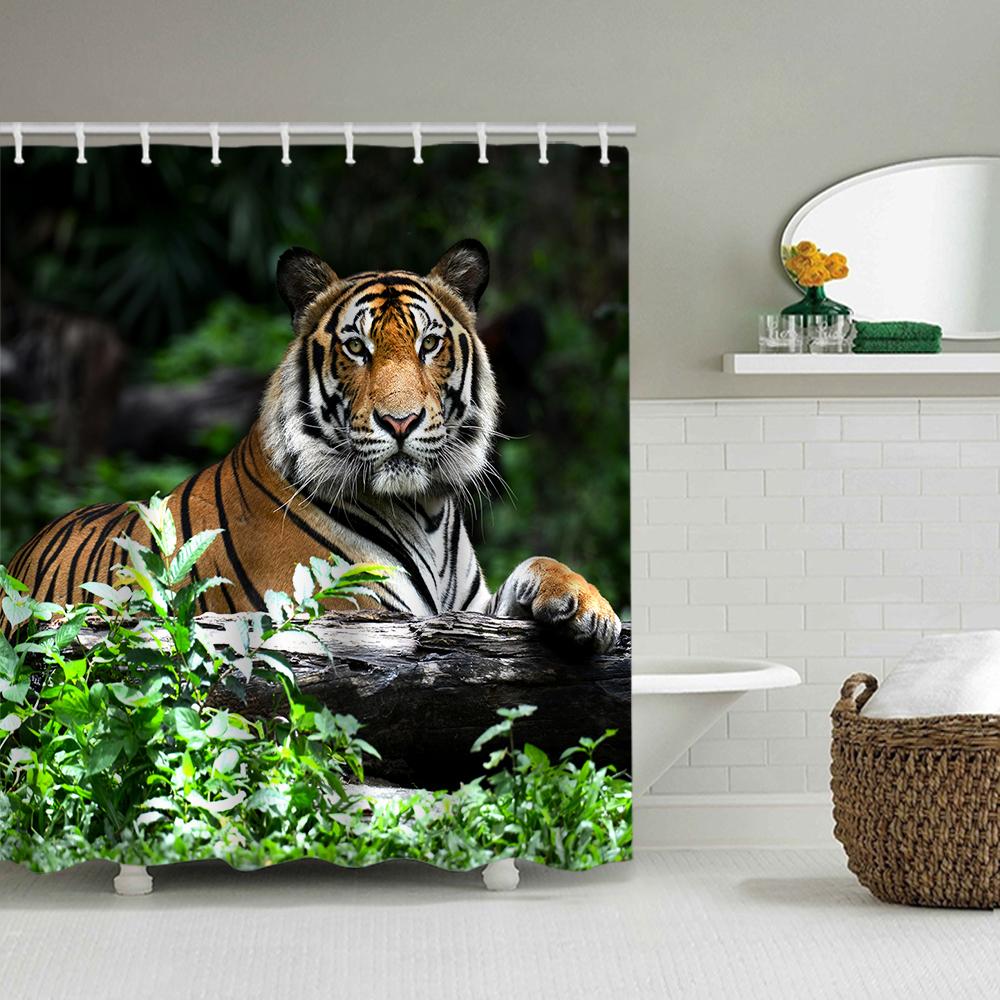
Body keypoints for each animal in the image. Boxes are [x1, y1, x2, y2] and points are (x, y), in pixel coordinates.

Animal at [7, 239, 622, 652]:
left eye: (429, 344)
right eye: (356, 347)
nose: (400, 421)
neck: (425, 511)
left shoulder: (469, 610)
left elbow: (538, 562)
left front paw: (589, 608)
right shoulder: (356, 613)